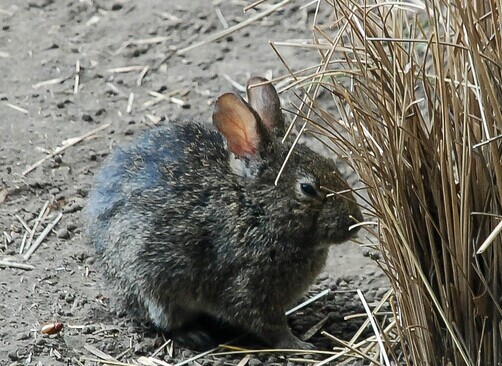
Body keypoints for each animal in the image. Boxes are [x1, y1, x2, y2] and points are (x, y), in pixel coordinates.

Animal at [84, 76, 362, 350]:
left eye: (332, 165)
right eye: (307, 188)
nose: (355, 223)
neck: (256, 209)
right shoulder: (247, 286)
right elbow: (268, 325)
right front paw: (297, 344)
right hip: (154, 284)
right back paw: (193, 335)